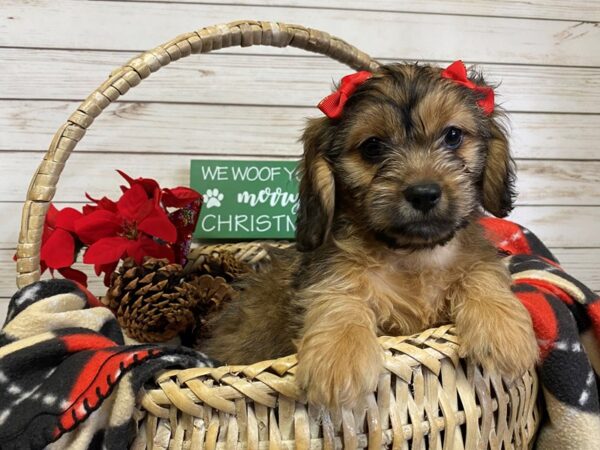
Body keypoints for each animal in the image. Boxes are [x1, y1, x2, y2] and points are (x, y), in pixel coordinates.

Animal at [200, 62, 540, 412]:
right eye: (372, 147)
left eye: (453, 135)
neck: (413, 254)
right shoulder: (329, 271)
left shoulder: (475, 257)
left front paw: (503, 331)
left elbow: (480, 272)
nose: (423, 193)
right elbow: (341, 294)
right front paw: (339, 354)